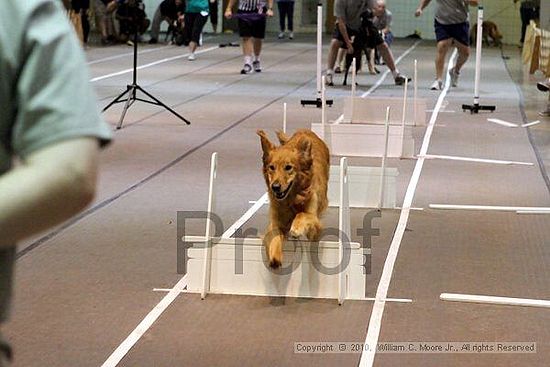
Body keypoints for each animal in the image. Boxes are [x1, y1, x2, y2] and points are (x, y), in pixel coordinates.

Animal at [258, 131, 330, 268]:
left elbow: (302, 214)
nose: (275, 187)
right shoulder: (275, 222)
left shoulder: (315, 224)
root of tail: (305, 130)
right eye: (271, 167)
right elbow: (274, 237)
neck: (292, 200)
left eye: (288, 167)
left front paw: (296, 228)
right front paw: (275, 258)